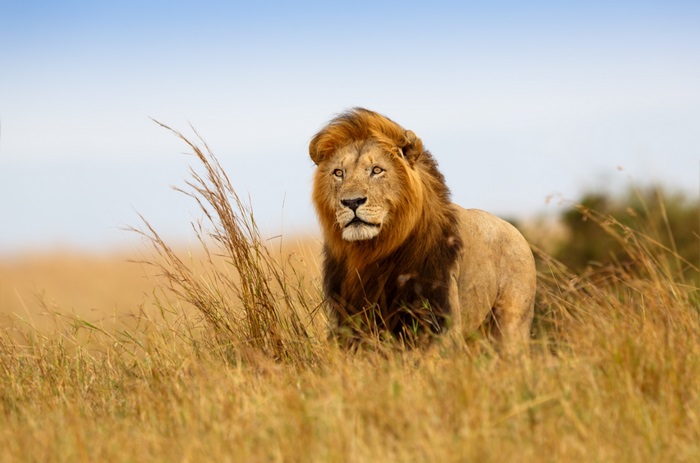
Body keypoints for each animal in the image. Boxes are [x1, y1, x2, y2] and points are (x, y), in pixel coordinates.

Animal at [309, 108, 536, 352]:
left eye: (377, 170)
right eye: (338, 173)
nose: (352, 202)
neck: (372, 251)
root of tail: (517, 232)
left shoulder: (440, 318)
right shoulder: (350, 319)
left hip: (511, 324)